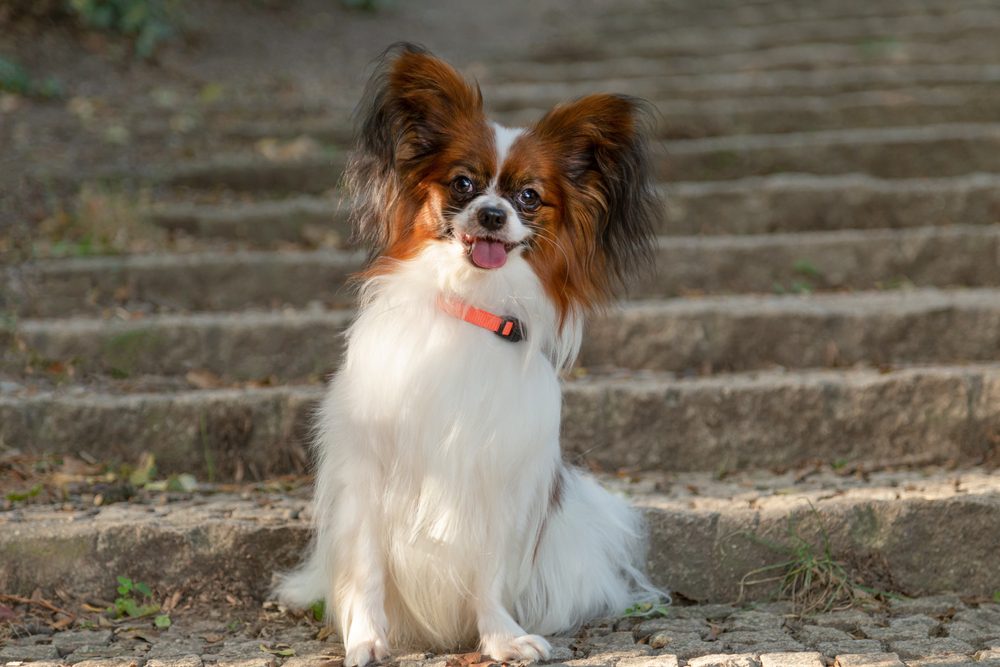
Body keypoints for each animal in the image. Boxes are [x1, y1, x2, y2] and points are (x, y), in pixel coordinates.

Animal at [276, 44, 664, 664]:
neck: (470, 303)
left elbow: (488, 573)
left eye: (529, 197)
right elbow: (366, 568)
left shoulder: (496, 476)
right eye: (462, 184)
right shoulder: (367, 469)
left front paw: (501, 637)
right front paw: (366, 639)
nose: (491, 214)